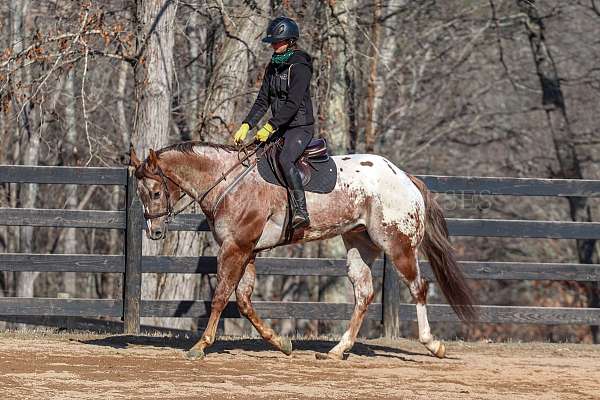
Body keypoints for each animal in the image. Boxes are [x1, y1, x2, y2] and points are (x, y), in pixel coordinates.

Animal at [129, 141, 476, 360]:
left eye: (156, 192)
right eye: (141, 195)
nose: (155, 232)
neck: (229, 181)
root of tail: (404, 177)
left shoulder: (235, 248)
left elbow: (221, 297)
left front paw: (201, 346)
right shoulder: (247, 250)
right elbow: (243, 301)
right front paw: (281, 342)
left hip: (397, 245)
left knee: (418, 288)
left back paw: (433, 345)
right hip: (359, 245)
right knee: (364, 294)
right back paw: (338, 350)